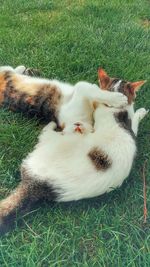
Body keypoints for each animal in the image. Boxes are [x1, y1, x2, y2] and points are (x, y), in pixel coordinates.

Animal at [0, 68, 148, 236]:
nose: (78, 127)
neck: (116, 113)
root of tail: (37, 184)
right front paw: (130, 107)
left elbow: (86, 88)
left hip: (53, 140)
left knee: (45, 132)